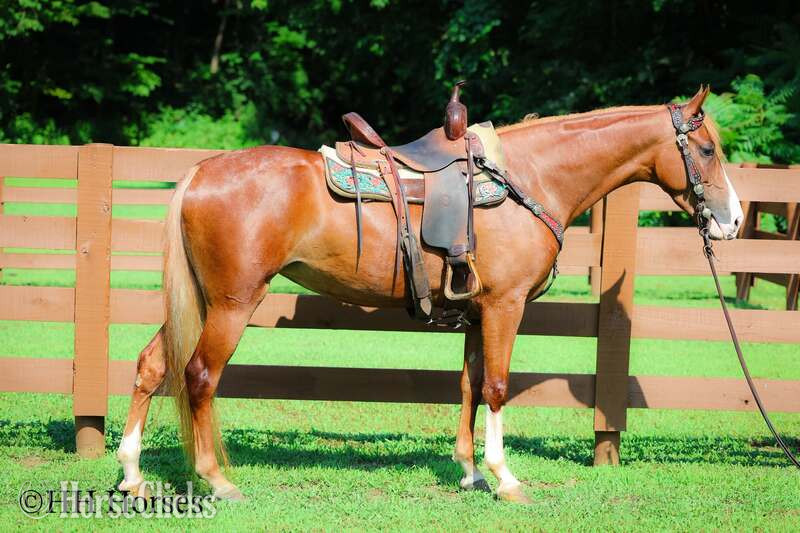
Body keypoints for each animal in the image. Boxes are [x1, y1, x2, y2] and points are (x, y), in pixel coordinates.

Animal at [115, 87, 744, 503]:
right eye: (707, 150)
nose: (732, 221)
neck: (530, 178)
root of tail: (200, 173)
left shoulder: (477, 312)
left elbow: (469, 385)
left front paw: (469, 471)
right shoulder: (505, 306)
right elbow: (496, 387)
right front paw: (505, 479)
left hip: (200, 301)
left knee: (151, 366)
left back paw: (132, 473)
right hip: (231, 304)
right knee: (199, 376)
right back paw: (216, 481)